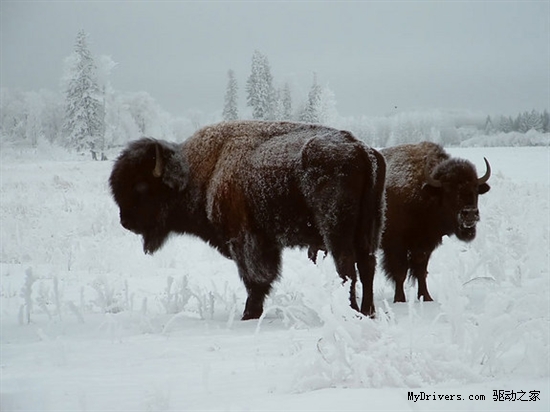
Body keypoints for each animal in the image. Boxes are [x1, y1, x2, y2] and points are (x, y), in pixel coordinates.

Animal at [109, 120, 388, 320]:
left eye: (142, 187)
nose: (126, 222)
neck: (205, 171)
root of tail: (362, 149)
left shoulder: (246, 241)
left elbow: (255, 279)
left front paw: (248, 314)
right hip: (370, 228)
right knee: (367, 266)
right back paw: (369, 311)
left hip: (336, 231)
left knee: (347, 269)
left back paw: (352, 311)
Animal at [382, 142, 494, 302]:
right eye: (448, 189)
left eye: (475, 187)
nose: (470, 214)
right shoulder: (396, 246)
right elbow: (400, 272)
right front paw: (399, 300)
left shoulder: (425, 245)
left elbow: (421, 271)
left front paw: (426, 297)